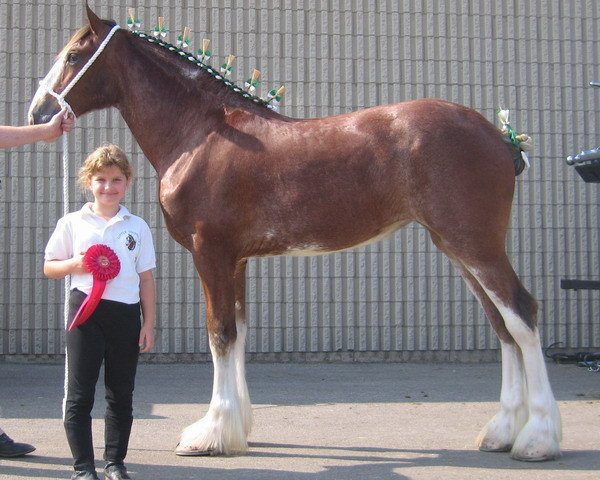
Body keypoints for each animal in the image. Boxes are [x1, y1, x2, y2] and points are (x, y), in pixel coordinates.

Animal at [29, 4, 564, 462]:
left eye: (73, 56)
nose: (37, 114)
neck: (201, 134)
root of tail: (500, 137)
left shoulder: (211, 253)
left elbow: (219, 335)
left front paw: (209, 435)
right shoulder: (236, 260)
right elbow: (239, 333)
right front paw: (238, 429)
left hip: (475, 246)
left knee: (522, 314)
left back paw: (537, 439)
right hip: (458, 247)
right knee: (502, 325)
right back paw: (501, 432)